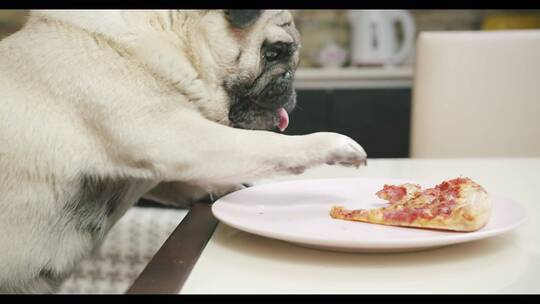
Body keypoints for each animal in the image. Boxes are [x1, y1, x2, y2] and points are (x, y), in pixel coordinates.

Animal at [0, 10, 368, 294]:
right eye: (274, 52)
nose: (290, 79)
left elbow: (180, 182)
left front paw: (221, 189)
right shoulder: (177, 135)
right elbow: (263, 146)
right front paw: (329, 143)